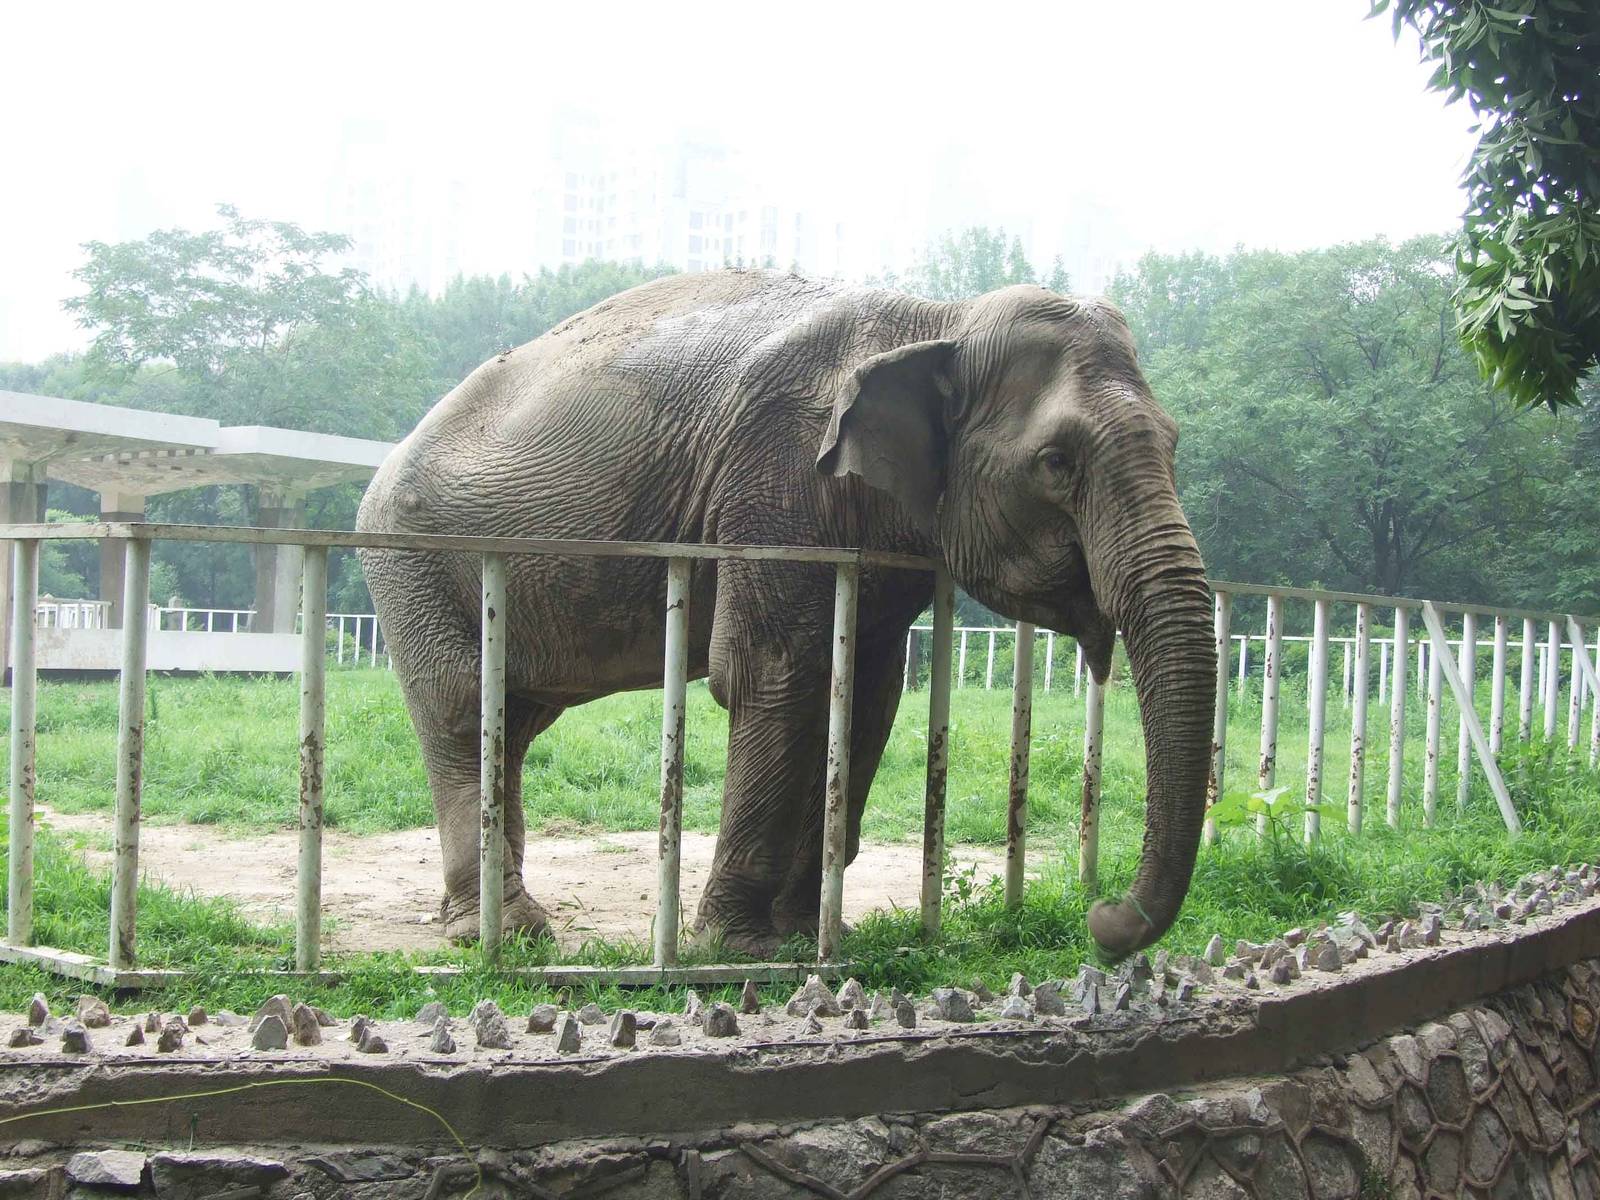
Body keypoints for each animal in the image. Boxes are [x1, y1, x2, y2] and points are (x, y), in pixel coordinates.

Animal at [356, 270, 1215, 960]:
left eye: (1177, 444)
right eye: (1056, 463)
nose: (1104, 921)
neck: (938, 317)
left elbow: (865, 696)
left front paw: (810, 933)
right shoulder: (776, 474)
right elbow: (775, 674)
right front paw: (737, 947)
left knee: (513, 720)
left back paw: (494, 923)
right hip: (413, 561)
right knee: (464, 709)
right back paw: (507, 934)